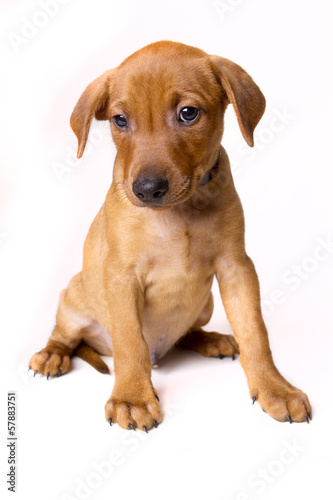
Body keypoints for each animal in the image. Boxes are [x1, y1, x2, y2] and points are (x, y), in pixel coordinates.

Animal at [29, 42, 312, 430]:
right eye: (120, 120)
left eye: (188, 113)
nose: (147, 189)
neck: (180, 213)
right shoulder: (121, 276)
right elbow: (130, 343)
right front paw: (132, 398)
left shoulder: (236, 267)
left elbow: (255, 332)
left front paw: (275, 389)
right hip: (71, 299)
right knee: (64, 334)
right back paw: (51, 355)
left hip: (206, 303)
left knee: (188, 332)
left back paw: (211, 340)